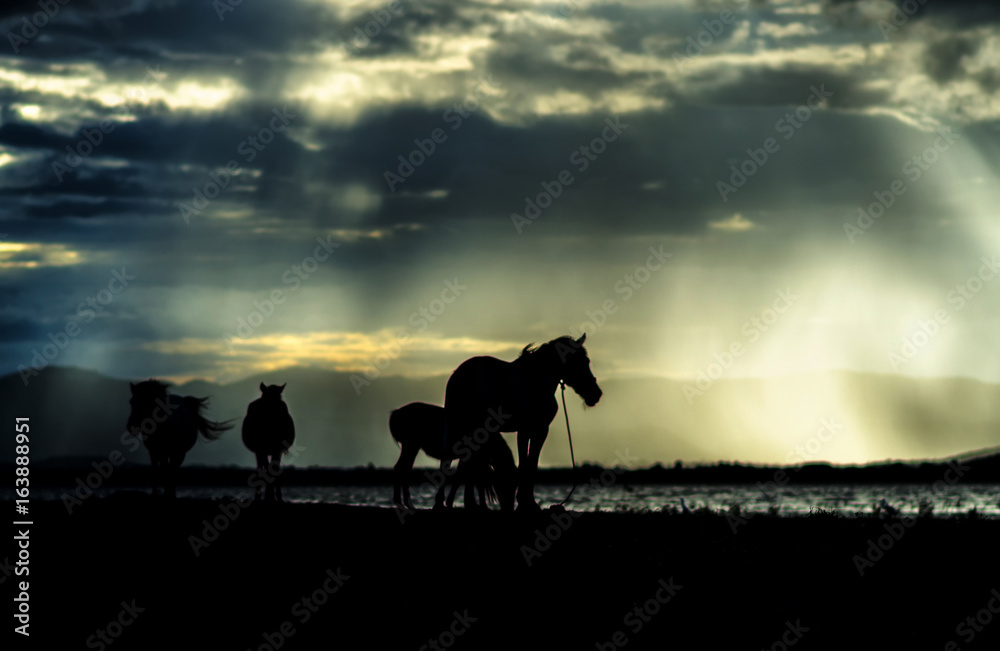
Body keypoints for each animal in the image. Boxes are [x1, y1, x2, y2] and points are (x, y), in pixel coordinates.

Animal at [446, 334, 600, 512]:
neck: (536, 382)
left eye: (587, 361)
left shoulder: (532, 431)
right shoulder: (532, 430)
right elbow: (527, 464)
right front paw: (527, 503)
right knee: (470, 464)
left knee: (470, 463)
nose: (596, 394)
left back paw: (470, 504)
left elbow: (528, 464)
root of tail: (460, 374)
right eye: (582, 362)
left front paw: (526, 502)